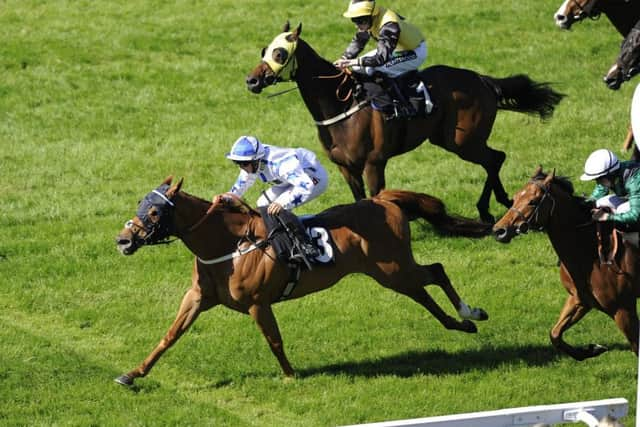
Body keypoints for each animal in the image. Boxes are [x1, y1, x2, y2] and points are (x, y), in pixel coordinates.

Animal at [114, 177, 490, 388]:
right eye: (140, 204)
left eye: (154, 212)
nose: (123, 240)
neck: (228, 246)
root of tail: (382, 200)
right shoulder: (198, 297)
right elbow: (169, 336)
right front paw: (132, 374)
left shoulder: (258, 303)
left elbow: (274, 340)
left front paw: (290, 376)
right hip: (391, 272)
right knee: (423, 290)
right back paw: (461, 324)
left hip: (393, 269)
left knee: (436, 272)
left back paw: (471, 313)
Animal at [245, 22, 564, 224]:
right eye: (263, 50)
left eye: (279, 53)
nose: (252, 81)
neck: (341, 104)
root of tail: (481, 79)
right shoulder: (345, 167)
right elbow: (358, 198)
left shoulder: (374, 162)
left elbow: (376, 197)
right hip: (451, 140)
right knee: (493, 160)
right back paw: (498, 203)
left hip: (462, 141)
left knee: (495, 158)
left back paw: (489, 207)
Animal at [492, 167, 636, 362]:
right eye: (514, 198)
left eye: (533, 201)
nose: (499, 230)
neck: (588, 251)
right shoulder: (579, 299)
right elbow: (555, 334)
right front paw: (590, 350)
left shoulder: (622, 308)